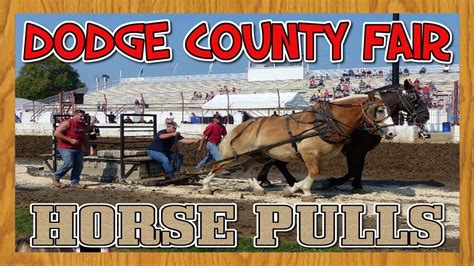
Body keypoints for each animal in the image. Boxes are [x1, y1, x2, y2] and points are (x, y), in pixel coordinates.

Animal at [200, 93, 396, 200]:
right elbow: (314, 173)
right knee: (217, 167)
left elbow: (314, 173)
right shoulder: (309, 153)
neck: (327, 121)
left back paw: (258, 189)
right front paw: (306, 193)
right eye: (379, 110)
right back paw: (206, 186)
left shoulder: (320, 157)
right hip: (236, 155)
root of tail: (240, 127)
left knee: (246, 168)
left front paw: (292, 189)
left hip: (259, 155)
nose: (392, 133)